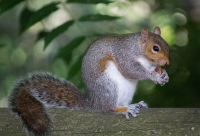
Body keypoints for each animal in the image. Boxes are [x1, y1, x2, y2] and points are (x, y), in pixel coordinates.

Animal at [8, 26, 170, 135]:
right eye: (155, 48)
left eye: (167, 45)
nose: (167, 62)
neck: (137, 48)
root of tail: (94, 102)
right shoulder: (124, 55)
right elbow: (130, 70)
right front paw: (154, 76)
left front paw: (164, 74)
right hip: (108, 85)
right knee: (107, 108)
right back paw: (124, 109)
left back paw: (136, 104)